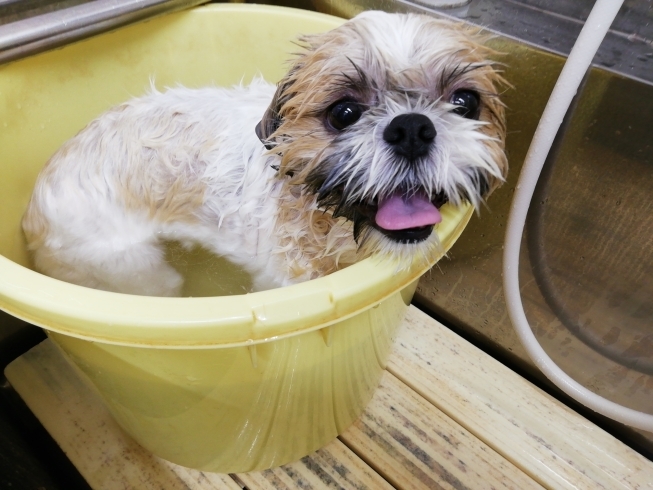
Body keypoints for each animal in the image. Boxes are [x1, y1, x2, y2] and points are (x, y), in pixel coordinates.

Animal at [22, 10, 506, 294]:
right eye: (344, 112)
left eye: (465, 102)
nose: (411, 129)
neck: (320, 220)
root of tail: (32, 211)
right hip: (130, 268)